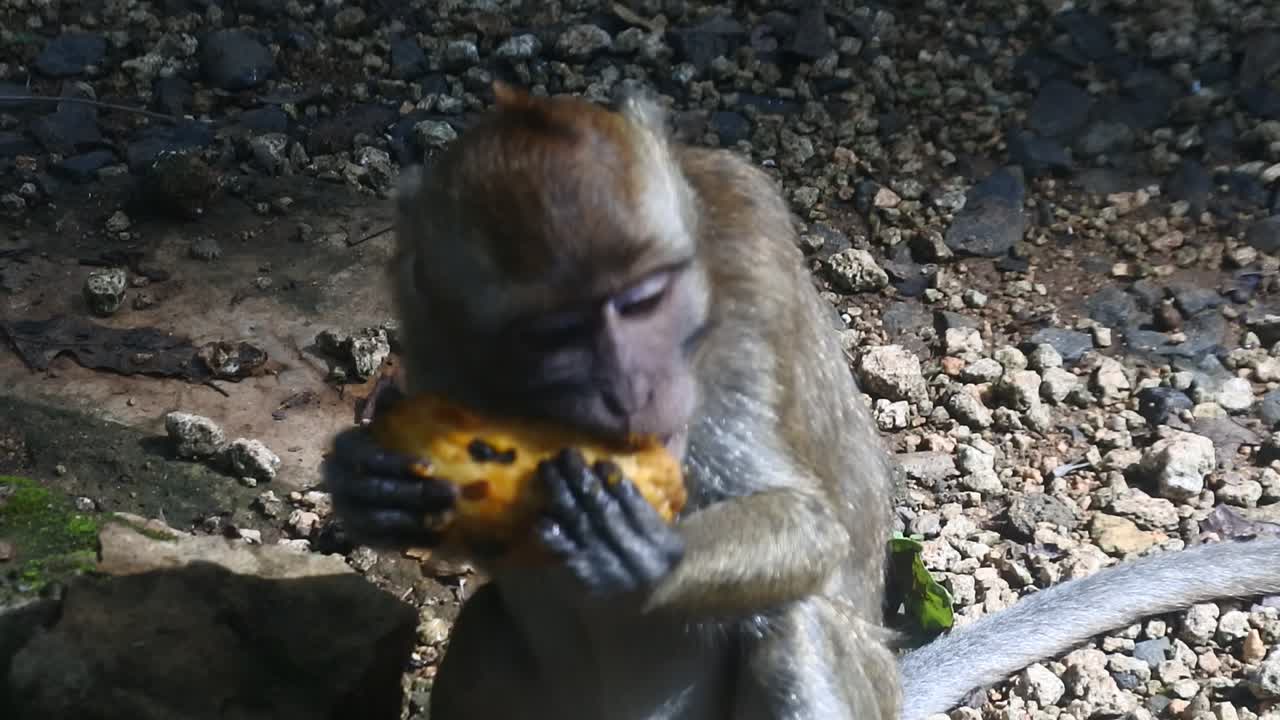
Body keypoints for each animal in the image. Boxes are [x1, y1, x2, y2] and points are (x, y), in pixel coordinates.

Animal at [323, 83, 1280, 720]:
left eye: (643, 299)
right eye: (555, 332)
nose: (632, 388)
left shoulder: (737, 297)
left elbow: (809, 530)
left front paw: (649, 551)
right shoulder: (424, 308)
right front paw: (370, 482)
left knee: (796, 627)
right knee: (484, 625)